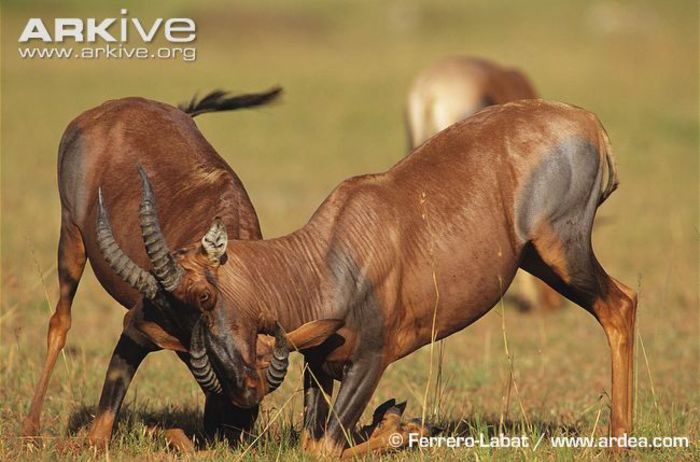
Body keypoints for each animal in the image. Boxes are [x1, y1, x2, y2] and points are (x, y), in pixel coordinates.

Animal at [21, 86, 304, 444]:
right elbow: (100, 431)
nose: (223, 432)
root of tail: (102, 112)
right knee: (60, 321)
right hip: (71, 234)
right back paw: (29, 428)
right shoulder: (138, 327)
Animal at [102, 99, 636, 456]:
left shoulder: (372, 360)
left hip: (563, 251)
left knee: (621, 303)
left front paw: (403, 431)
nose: (244, 393)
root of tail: (588, 122)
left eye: (205, 297)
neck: (334, 249)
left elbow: (326, 448)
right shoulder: (320, 366)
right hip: (537, 259)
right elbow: (312, 442)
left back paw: (618, 445)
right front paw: (393, 425)